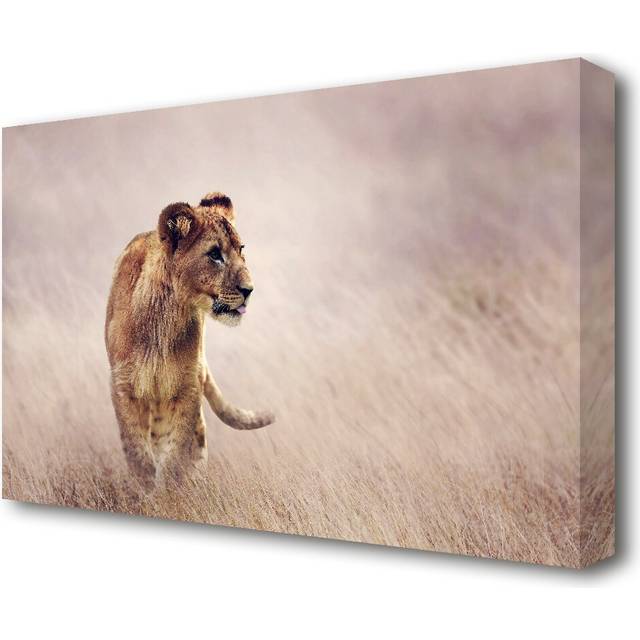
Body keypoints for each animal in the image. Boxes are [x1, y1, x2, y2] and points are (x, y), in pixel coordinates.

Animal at [105, 192, 274, 489]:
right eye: (215, 254)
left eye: (241, 249)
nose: (249, 290)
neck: (165, 318)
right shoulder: (123, 385)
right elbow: (136, 451)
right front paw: (145, 489)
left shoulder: (188, 386)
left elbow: (175, 456)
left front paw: (171, 491)